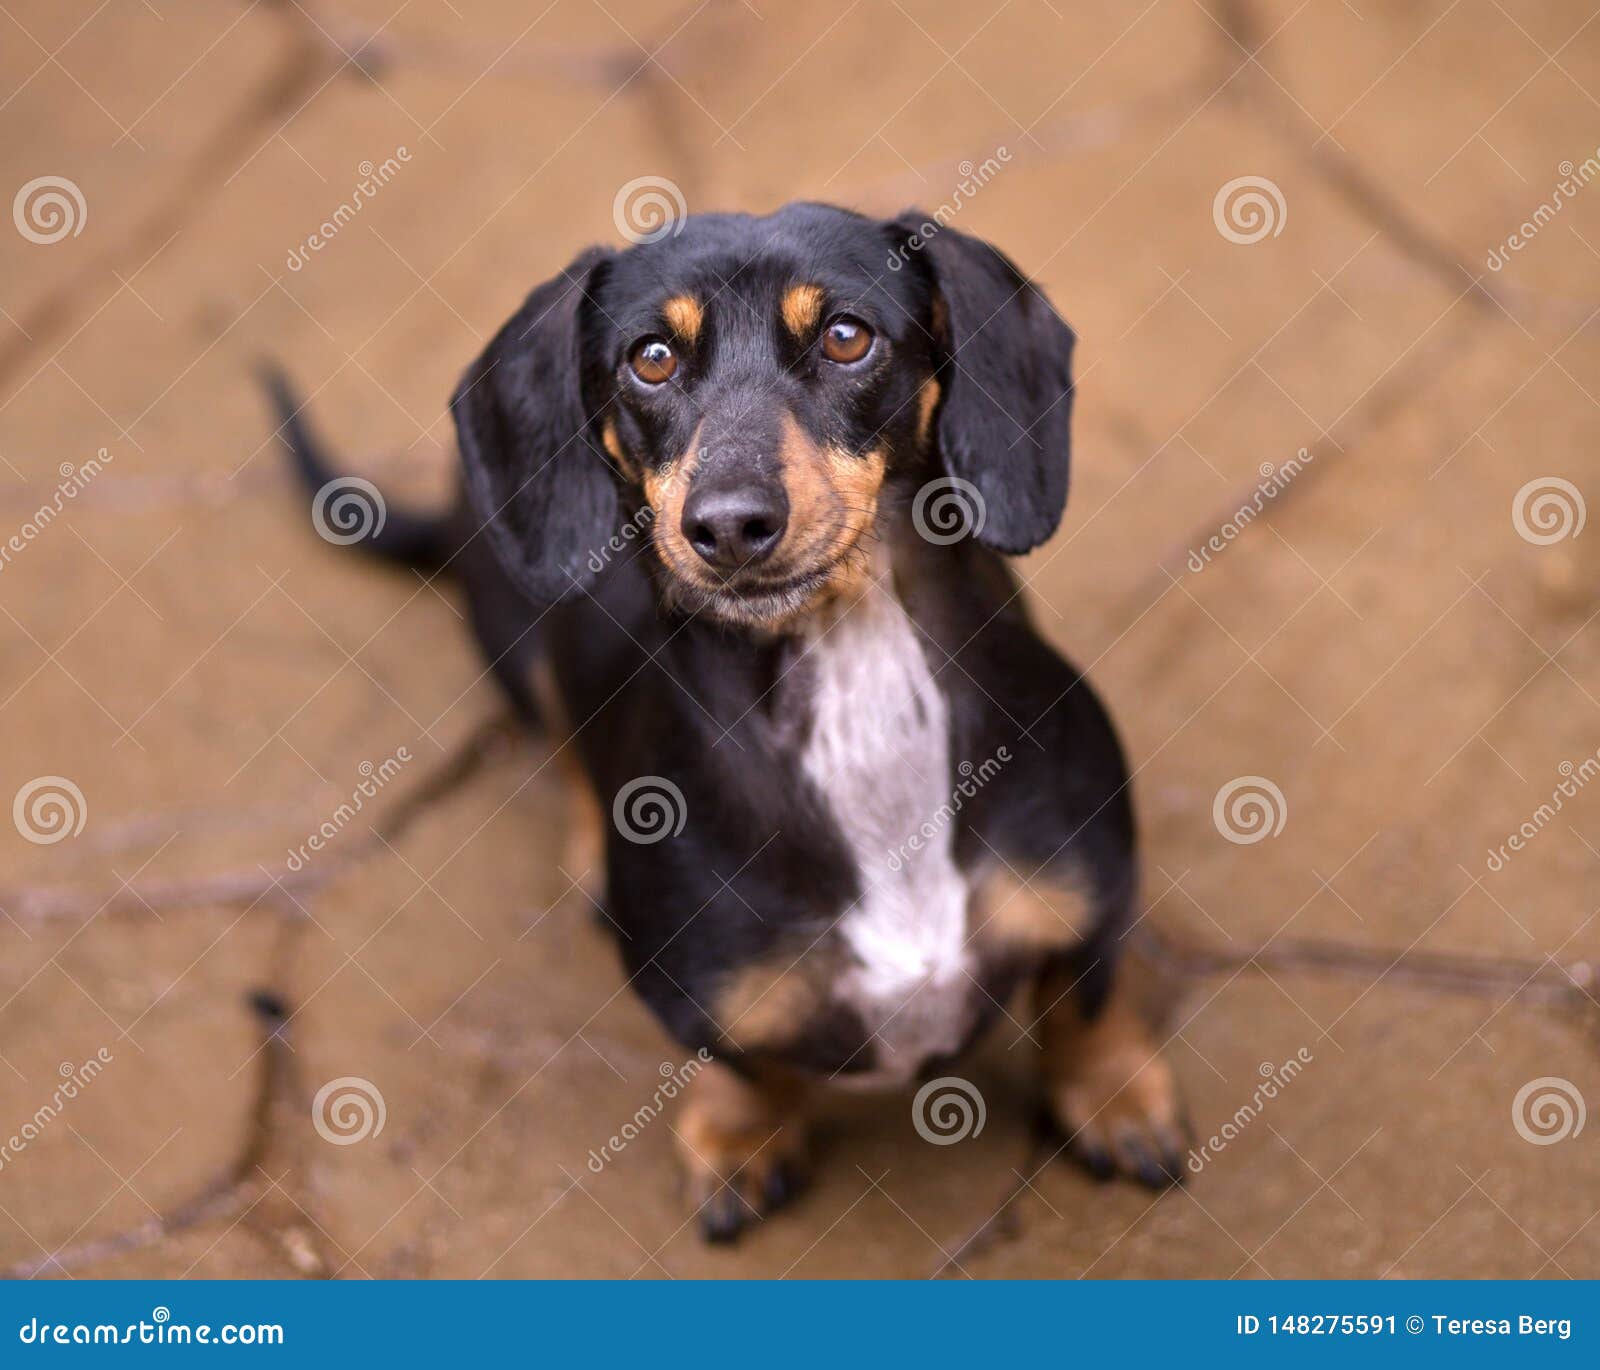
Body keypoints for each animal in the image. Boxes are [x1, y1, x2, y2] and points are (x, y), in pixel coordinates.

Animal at [265, 200, 1190, 1241]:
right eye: (652, 357)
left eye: (846, 336)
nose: (730, 525)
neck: (854, 662)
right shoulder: (689, 992)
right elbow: (745, 1064)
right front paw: (739, 1139)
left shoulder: (1094, 892)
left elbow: (1086, 1005)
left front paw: (1117, 1098)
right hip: (517, 639)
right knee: (563, 743)